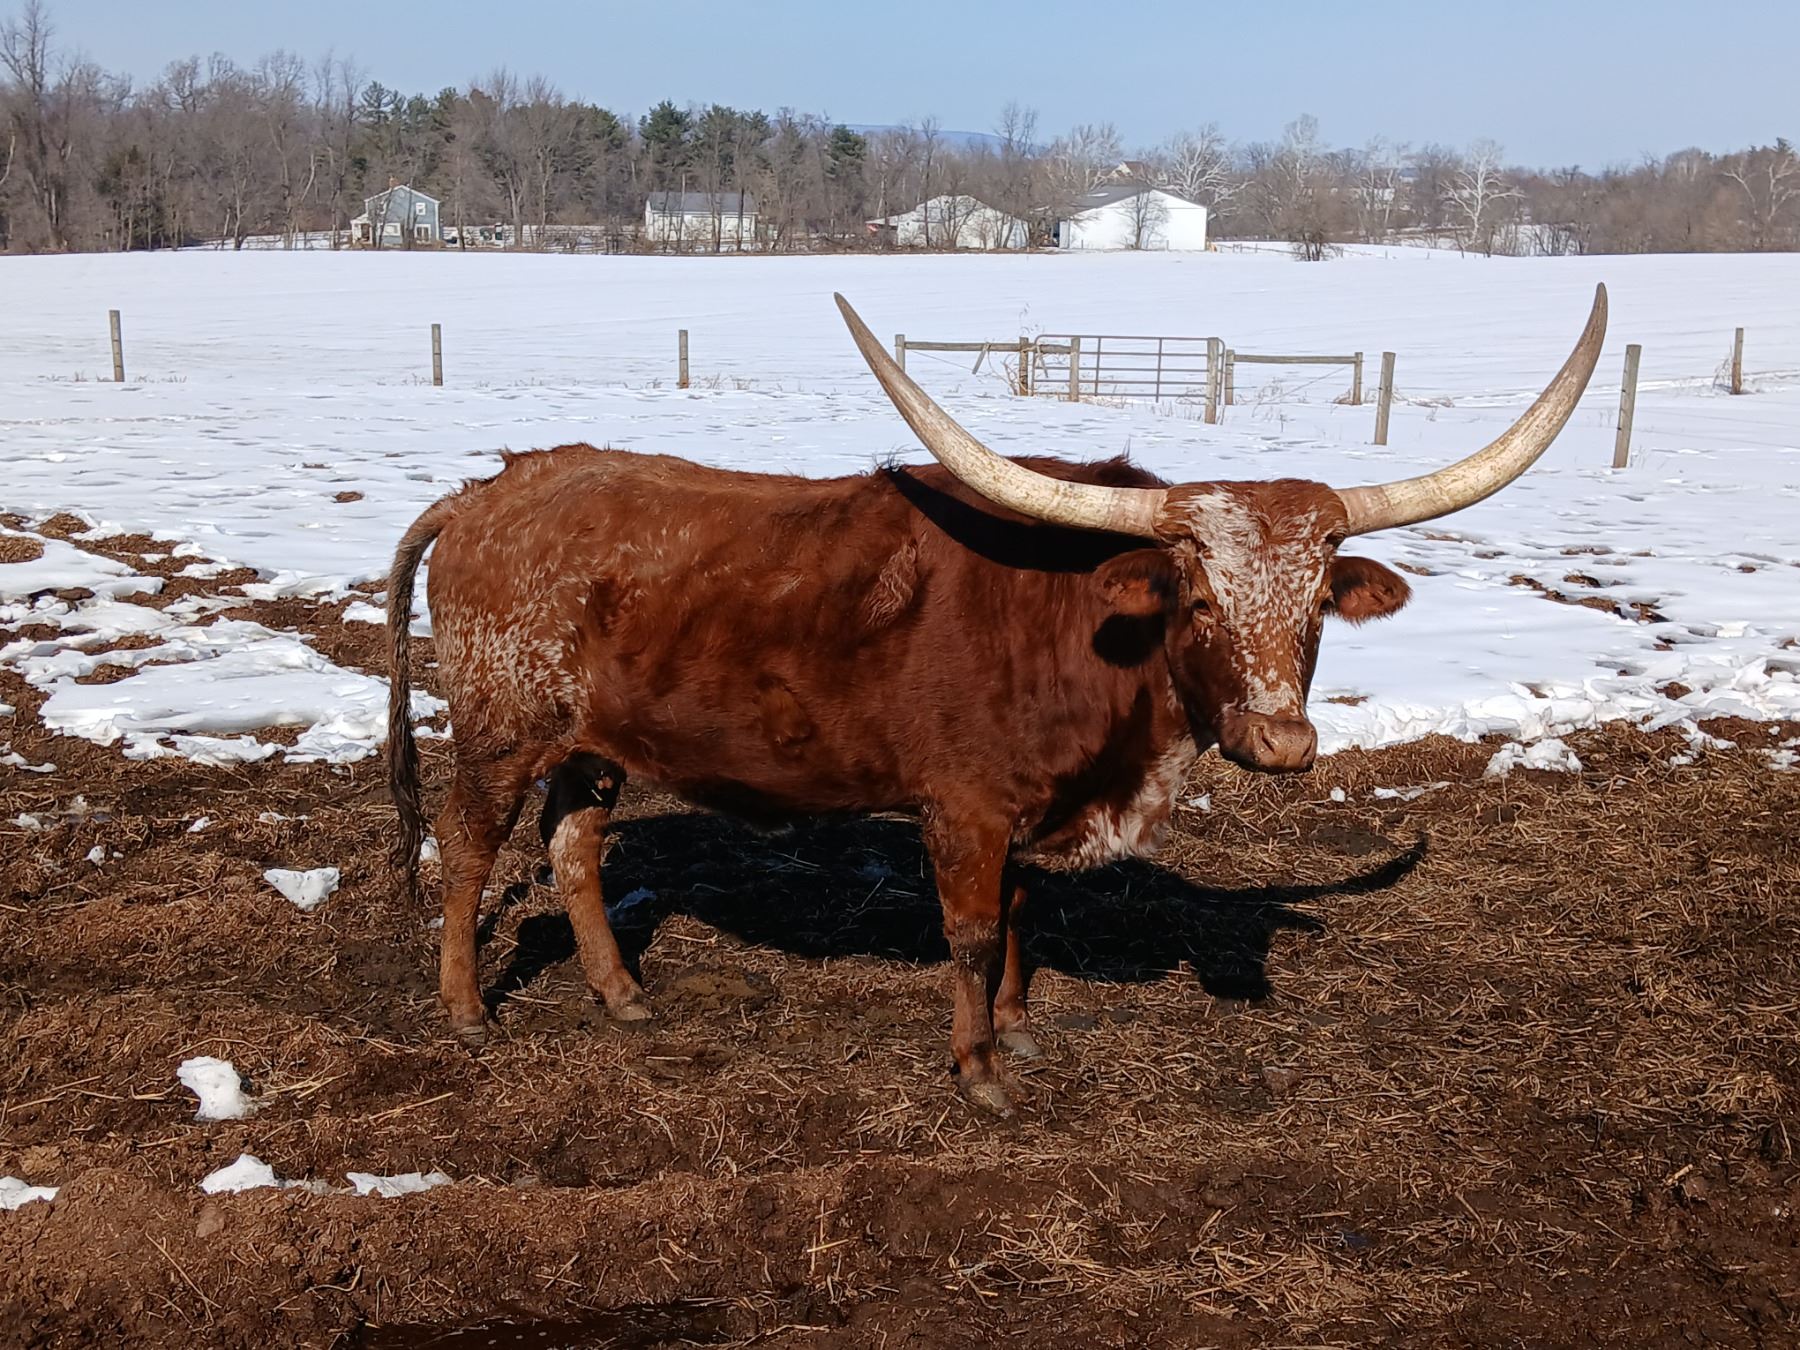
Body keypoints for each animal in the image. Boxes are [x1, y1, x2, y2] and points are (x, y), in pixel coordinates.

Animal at [387, 287, 1606, 1114]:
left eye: (1316, 603)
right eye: (1200, 597)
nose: (1281, 739)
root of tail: (488, 489)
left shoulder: (1032, 808)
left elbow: (1024, 914)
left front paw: (1019, 1029)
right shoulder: (964, 808)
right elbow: (972, 931)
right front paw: (977, 1068)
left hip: (588, 743)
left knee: (573, 848)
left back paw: (621, 994)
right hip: (497, 733)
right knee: (468, 847)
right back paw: (464, 1012)